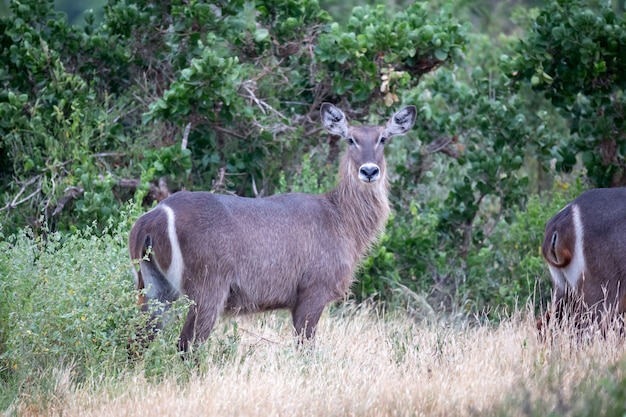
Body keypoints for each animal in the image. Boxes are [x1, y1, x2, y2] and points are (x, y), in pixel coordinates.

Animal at [129, 102, 416, 350]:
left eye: (383, 138)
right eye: (351, 139)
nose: (369, 171)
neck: (340, 218)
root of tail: (152, 218)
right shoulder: (314, 291)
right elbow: (305, 348)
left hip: (153, 288)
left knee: (140, 340)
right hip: (207, 289)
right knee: (186, 345)